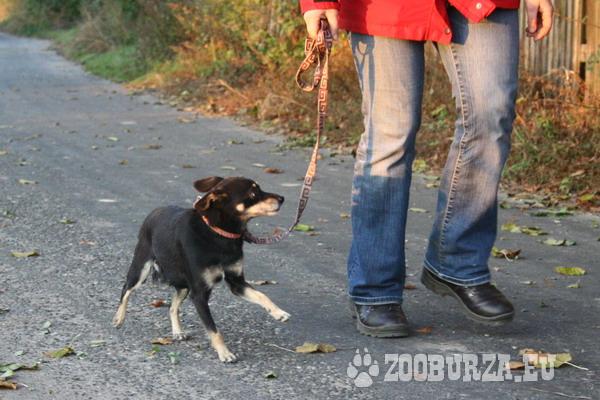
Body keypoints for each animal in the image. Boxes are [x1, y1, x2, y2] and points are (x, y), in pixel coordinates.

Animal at [112, 176, 290, 362]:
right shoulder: (199, 294)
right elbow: (214, 330)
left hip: (184, 285)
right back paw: (119, 318)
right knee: (126, 289)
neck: (219, 235)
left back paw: (178, 332)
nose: (282, 198)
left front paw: (278, 312)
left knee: (172, 307)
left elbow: (262, 295)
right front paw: (224, 353)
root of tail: (154, 211)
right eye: (253, 193)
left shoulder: (236, 282)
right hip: (141, 267)